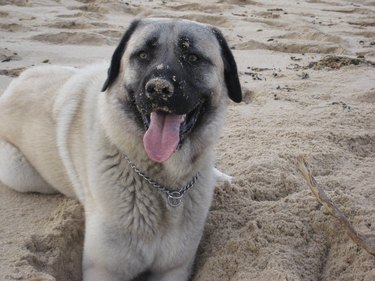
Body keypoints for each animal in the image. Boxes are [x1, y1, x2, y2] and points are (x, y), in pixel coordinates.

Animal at [0, 18, 241, 278]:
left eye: (193, 57)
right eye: (142, 55)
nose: (158, 89)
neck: (166, 184)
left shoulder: (175, 268)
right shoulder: (105, 269)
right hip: (19, 173)